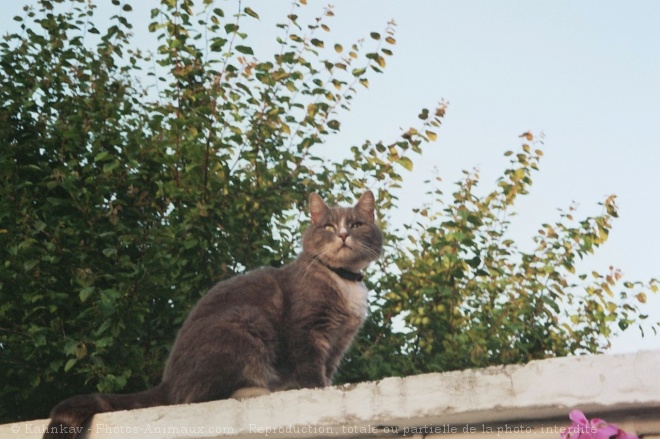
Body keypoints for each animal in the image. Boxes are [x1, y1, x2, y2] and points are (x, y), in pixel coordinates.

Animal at [42, 191, 382, 439]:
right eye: (328, 226)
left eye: (356, 224)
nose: (342, 235)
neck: (343, 279)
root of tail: (167, 380)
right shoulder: (307, 329)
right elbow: (311, 369)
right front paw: (316, 389)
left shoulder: (339, 343)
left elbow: (327, 370)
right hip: (245, 324)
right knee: (198, 397)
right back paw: (254, 389)